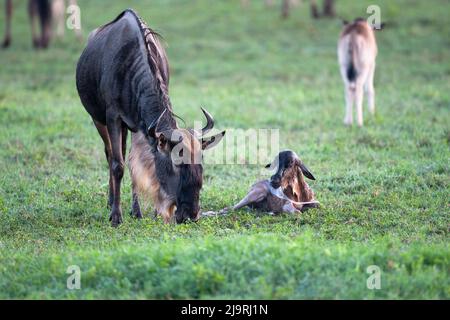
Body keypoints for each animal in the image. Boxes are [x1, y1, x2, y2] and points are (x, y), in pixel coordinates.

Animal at [77, 9, 227, 225]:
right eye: (176, 162)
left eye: (201, 162)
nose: (191, 214)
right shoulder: (113, 117)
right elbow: (118, 165)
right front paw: (116, 217)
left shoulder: (140, 125)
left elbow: (134, 164)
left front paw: (141, 212)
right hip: (98, 119)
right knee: (110, 154)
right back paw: (111, 202)